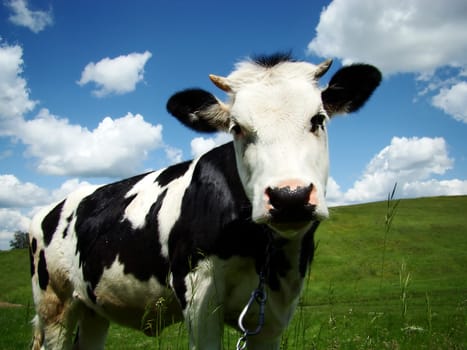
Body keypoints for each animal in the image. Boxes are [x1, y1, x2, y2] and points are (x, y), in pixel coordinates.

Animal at [28, 52, 380, 350]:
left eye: (318, 119)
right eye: (237, 128)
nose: (289, 196)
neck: (261, 251)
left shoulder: (276, 310)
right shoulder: (198, 293)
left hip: (93, 308)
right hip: (54, 302)